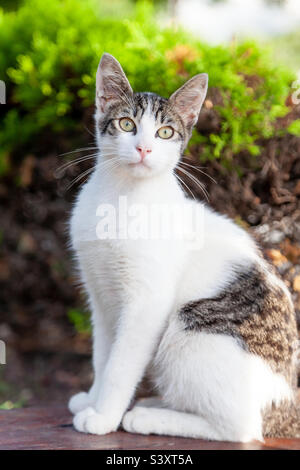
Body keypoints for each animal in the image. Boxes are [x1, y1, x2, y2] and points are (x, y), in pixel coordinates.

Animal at [67, 52, 298, 440]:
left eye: (165, 133)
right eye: (127, 124)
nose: (143, 149)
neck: (122, 197)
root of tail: (287, 406)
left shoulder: (147, 303)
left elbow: (121, 365)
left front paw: (104, 416)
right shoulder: (101, 296)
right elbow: (103, 355)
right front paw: (93, 400)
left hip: (192, 333)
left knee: (240, 428)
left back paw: (147, 417)